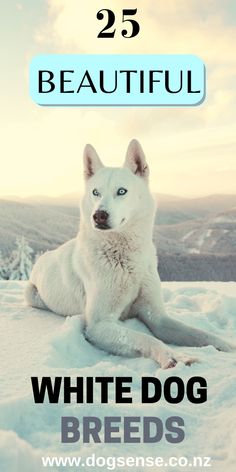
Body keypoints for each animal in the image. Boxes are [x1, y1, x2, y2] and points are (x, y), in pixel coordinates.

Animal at [25, 140, 234, 368]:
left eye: (122, 191)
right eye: (95, 192)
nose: (98, 215)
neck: (126, 260)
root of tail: (44, 256)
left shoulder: (157, 317)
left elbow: (199, 333)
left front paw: (227, 346)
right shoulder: (99, 325)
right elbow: (145, 338)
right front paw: (173, 356)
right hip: (32, 295)